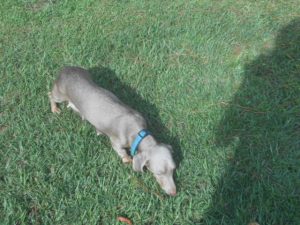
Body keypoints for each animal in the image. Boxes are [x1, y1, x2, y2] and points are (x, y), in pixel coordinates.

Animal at [48, 66, 177, 196]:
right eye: (159, 172)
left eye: (173, 169)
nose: (174, 193)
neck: (138, 132)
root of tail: (65, 69)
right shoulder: (116, 141)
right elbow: (121, 151)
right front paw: (127, 159)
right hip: (60, 93)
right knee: (50, 95)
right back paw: (55, 108)